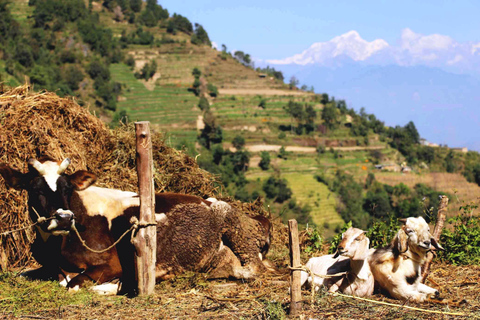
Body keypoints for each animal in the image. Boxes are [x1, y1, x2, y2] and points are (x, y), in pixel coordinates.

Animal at [0, 156, 272, 294]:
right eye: (35, 189)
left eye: (68, 189)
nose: (65, 218)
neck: (58, 247)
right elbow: (30, 274)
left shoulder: (112, 265)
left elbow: (72, 285)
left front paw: (115, 287)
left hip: (232, 224)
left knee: (253, 269)